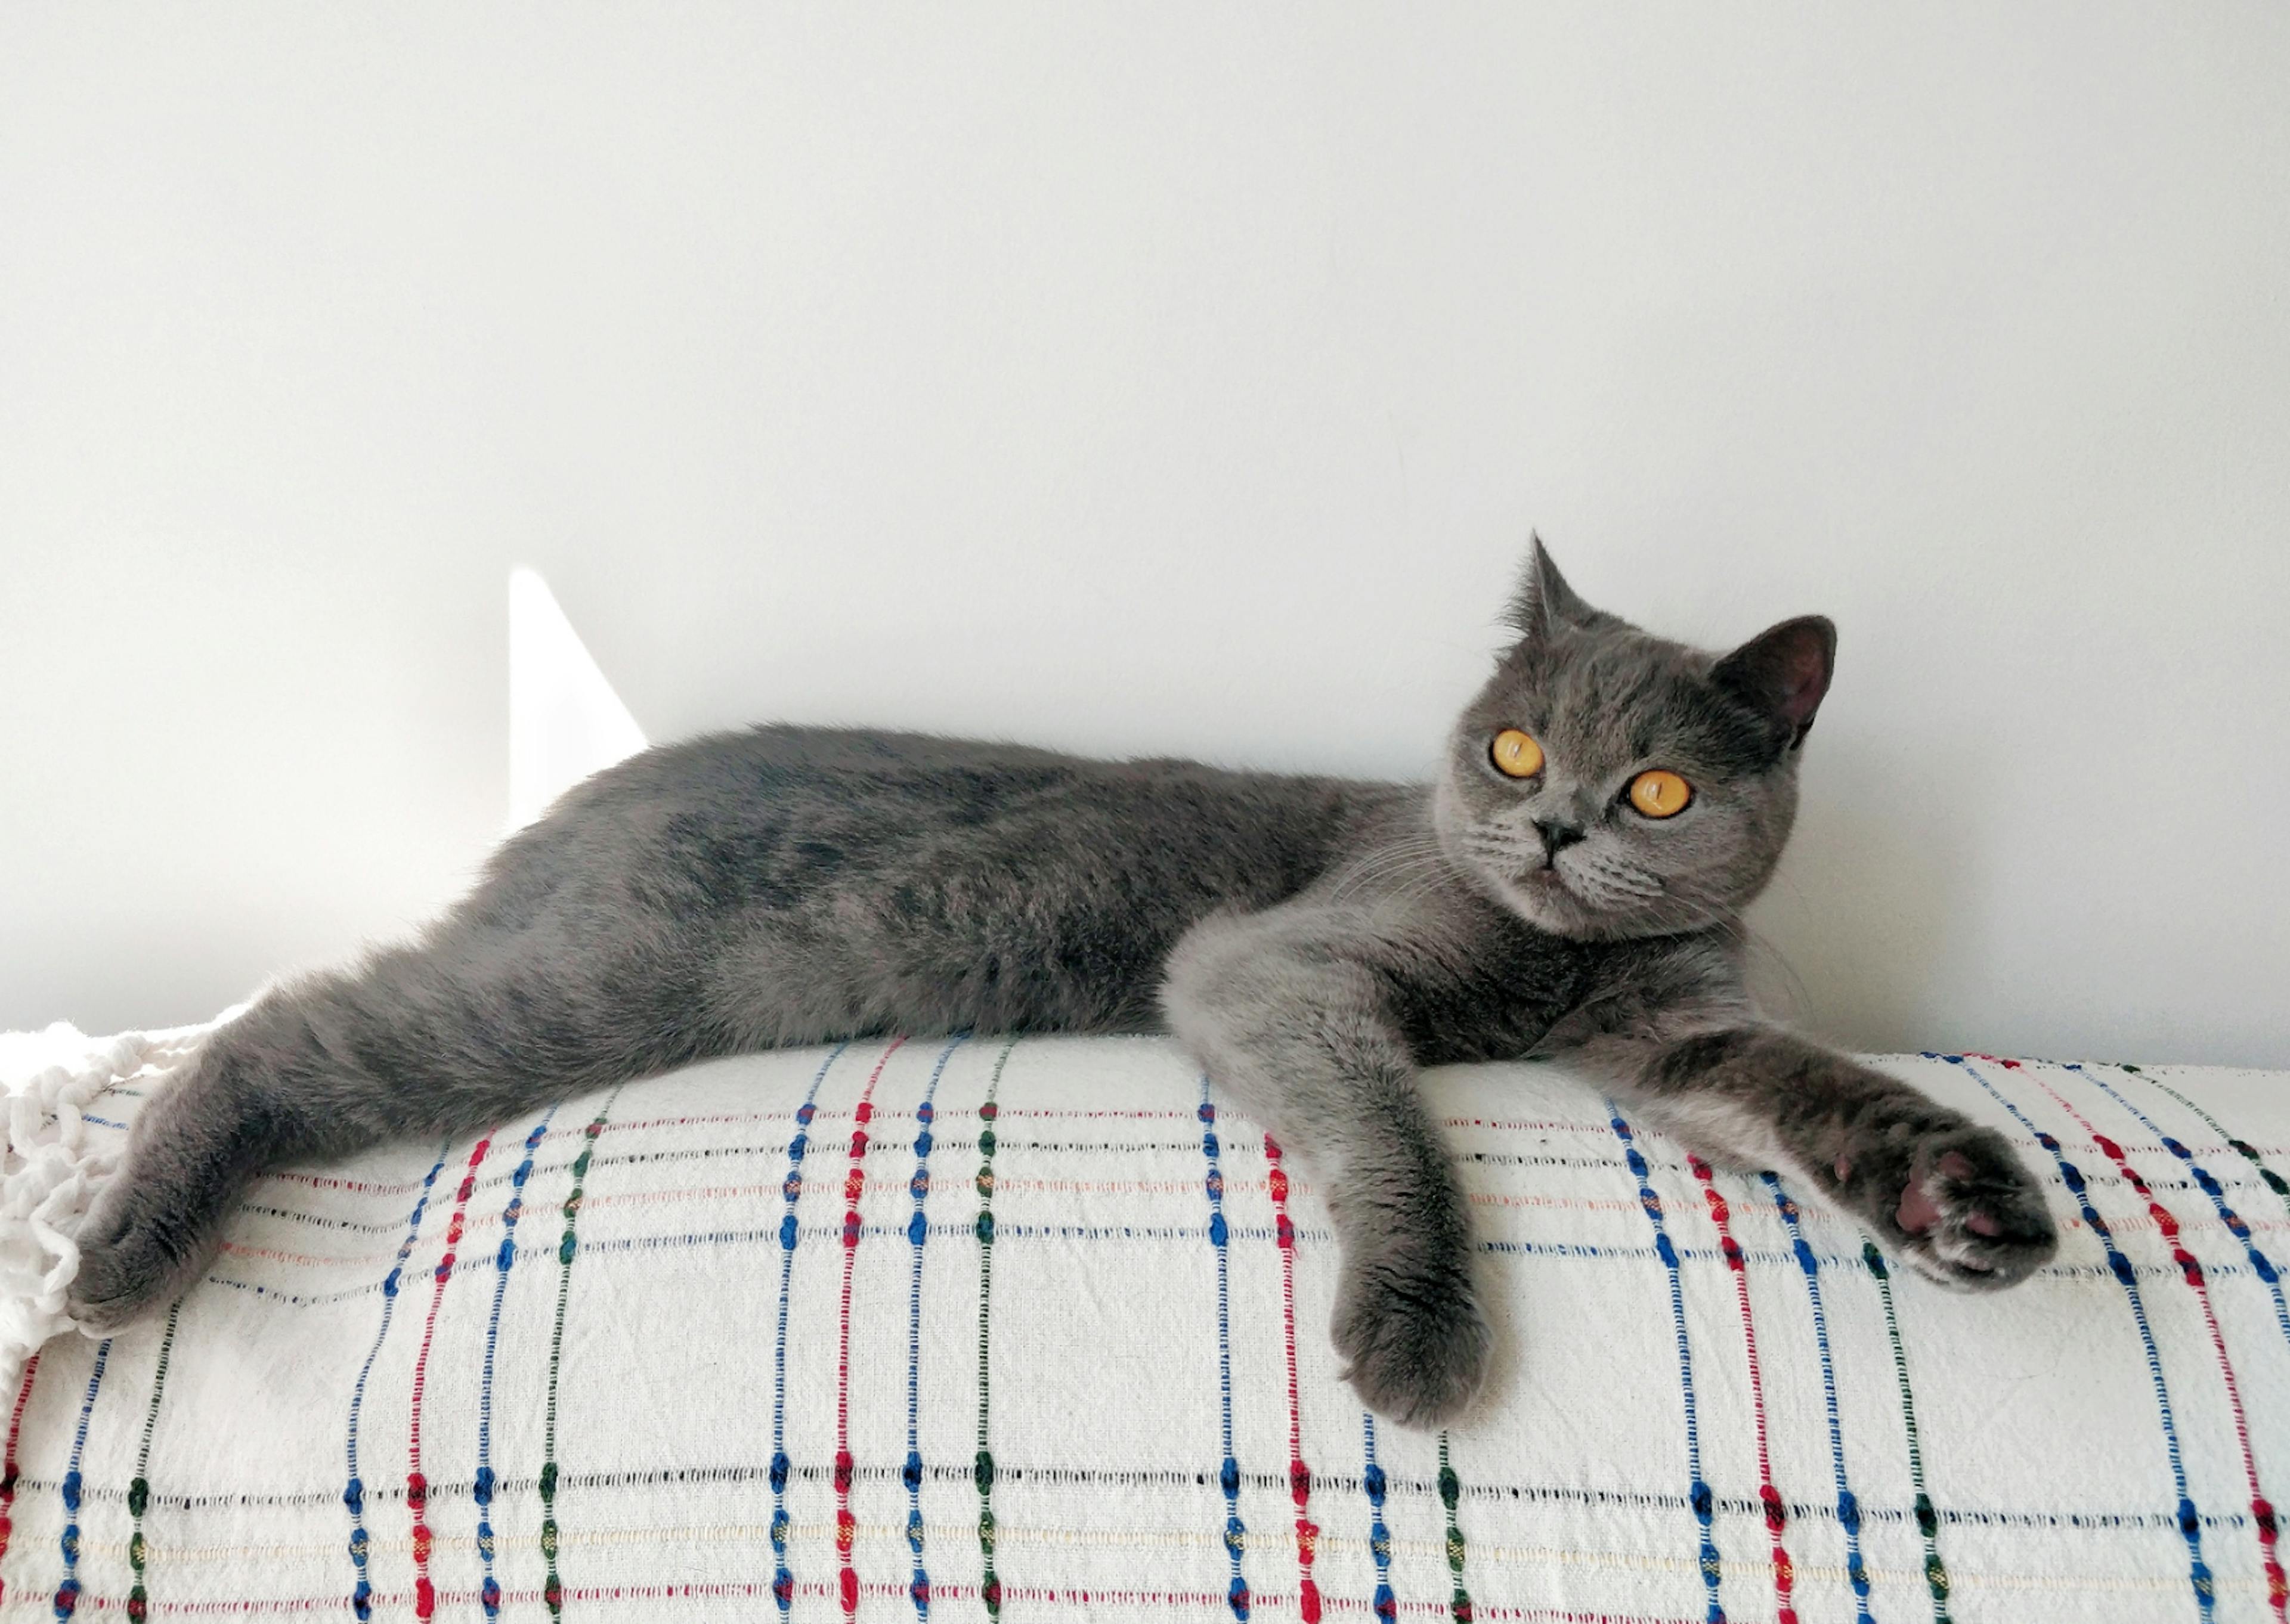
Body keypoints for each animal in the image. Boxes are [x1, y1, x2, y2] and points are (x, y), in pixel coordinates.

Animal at [67, 540, 2061, 1420]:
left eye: (1655, 789)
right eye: (1510, 749)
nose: (1555, 824)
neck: (1552, 962)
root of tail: (588, 791)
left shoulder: (1674, 1031)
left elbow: (1812, 1082)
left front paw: (1965, 1195)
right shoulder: (1275, 961)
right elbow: (1399, 1124)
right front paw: (1418, 1323)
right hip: (606, 975)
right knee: (275, 1022)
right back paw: (115, 1248)